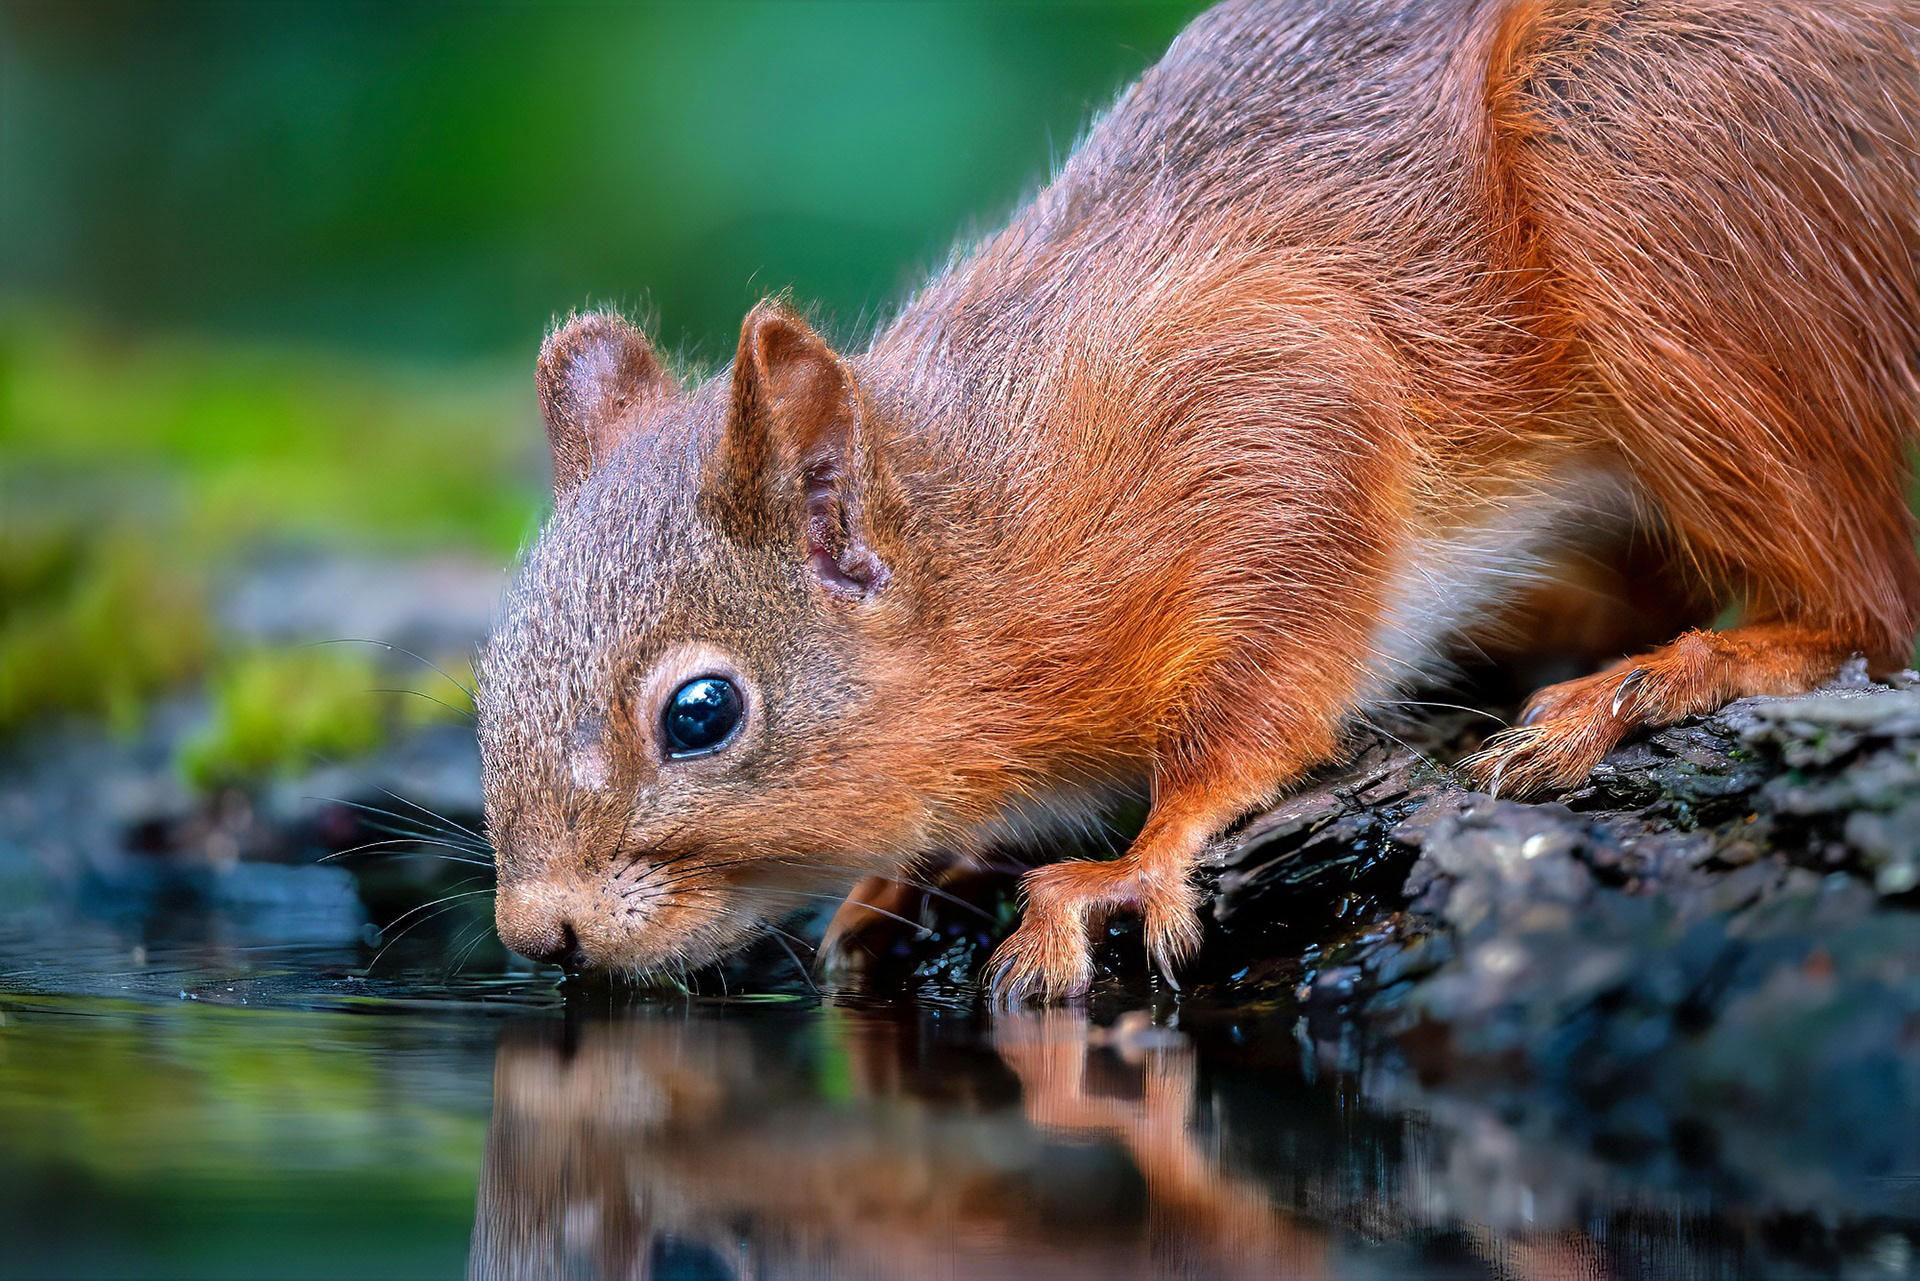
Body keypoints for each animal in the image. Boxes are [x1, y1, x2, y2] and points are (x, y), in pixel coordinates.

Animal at [477, 0, 1920, 1001]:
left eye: (702, 715)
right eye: (487, 676)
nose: (536, 933)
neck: (1001, 520)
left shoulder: (1269, 425)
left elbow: (1259, 697)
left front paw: (1134, 858)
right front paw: (917, 866)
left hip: (1644, 167)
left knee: (1861, 602)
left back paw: (1660, 679)